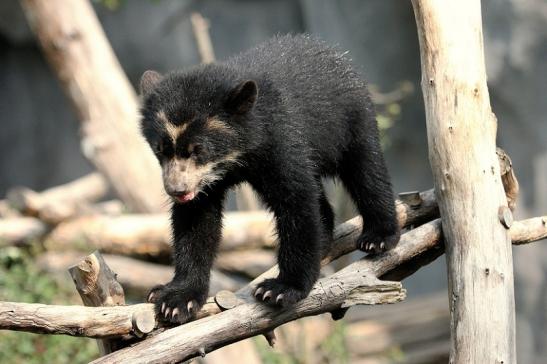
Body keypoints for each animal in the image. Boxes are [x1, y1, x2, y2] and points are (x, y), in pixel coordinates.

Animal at [139, 34, 400, 324]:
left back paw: (378, 237)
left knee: (366, 171)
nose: (176, 190)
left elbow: (296, 202)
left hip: (353, 118)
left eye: (198, 150)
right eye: (160, 150)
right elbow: (196, 221)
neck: (240, 154)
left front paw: (280, 289)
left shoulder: (281, 138)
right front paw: (176, 299)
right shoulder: (204, 182)